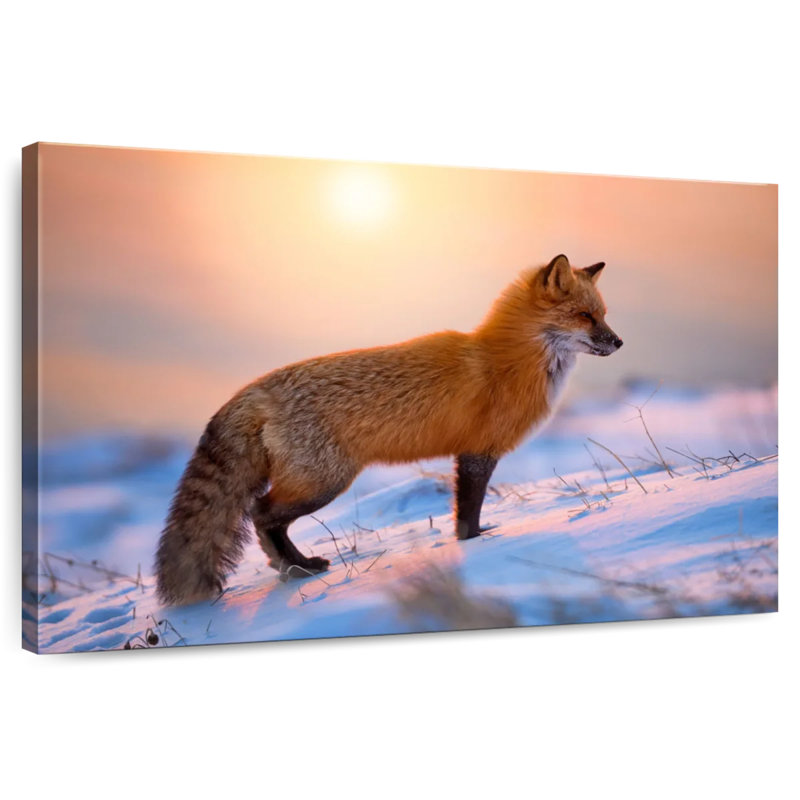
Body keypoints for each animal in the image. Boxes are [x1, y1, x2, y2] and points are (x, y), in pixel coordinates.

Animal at [155, 254, 623, 605]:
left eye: (603, 315)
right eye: (584, 316)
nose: (618, 343)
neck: (508, 362)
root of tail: (255, 389)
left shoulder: (470, 451)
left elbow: (463, 512)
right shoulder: (478, 451)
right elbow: (468, 512)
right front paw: (474, 545)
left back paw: (294, 567)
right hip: (324, 482)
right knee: (261, 513)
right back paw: (298, 567)